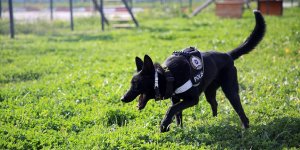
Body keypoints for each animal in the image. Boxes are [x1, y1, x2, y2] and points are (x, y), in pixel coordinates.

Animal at [120, 10, 266, 132]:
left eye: (136, 84)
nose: (122, 98)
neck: (169, 75)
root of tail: (228, 55)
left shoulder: (193, 99)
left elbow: (171, 109)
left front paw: (164, 125)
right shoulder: (176, 99)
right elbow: (177, 114)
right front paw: (178, 129)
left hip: (230, 91)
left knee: (239, 109)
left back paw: (245, 128)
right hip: (210, 92)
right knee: (214, 103)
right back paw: (215, 120)